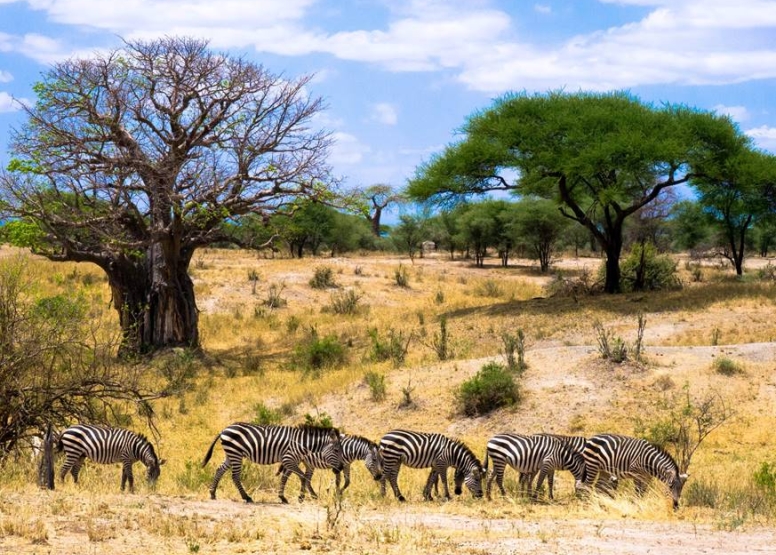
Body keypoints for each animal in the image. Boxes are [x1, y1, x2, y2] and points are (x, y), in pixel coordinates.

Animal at [202, 426, 344, 504]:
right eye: (337, 450)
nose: (341, 468)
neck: (302, 444)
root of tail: (224, 429)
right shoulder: (289, 459)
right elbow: (303, 477)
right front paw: (301, 497)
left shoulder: (291, 461)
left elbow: (285, 477)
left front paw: (283, 497)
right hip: (235, 453)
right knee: (235, 476)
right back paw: (246, 497)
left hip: (231, 454)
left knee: (219, 470)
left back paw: (213, 493)